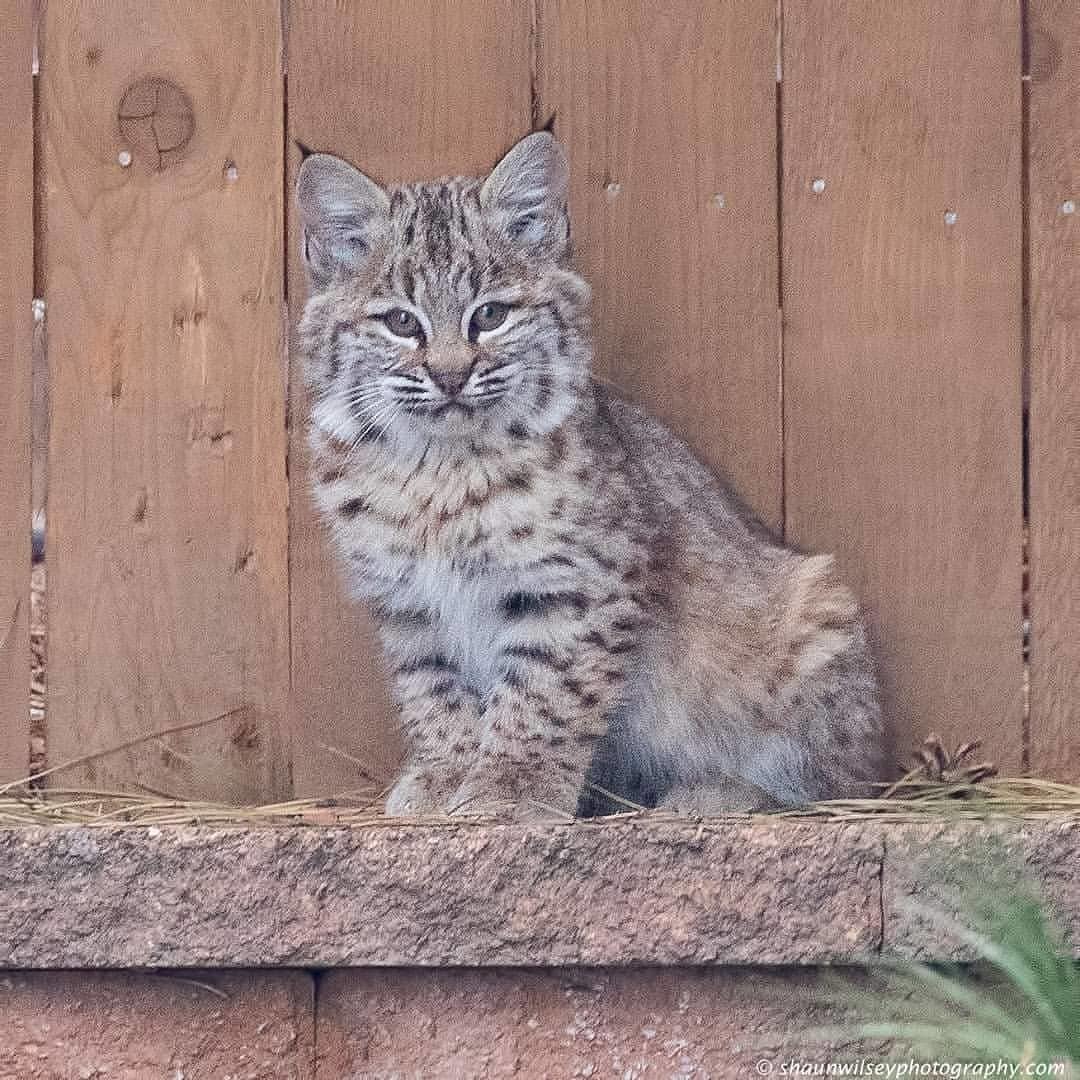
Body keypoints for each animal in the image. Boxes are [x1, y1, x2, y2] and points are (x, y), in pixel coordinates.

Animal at [298, 130, 885, 812]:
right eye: (399, 323)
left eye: (490, 316)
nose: (450, 376)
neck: (437, 466)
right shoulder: (405, 602)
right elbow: (432, 693)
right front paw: (442, 777)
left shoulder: (577, 583)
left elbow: (545, 696)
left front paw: (512, 788)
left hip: (817, 601)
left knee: (842, 780)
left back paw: (720, 793)